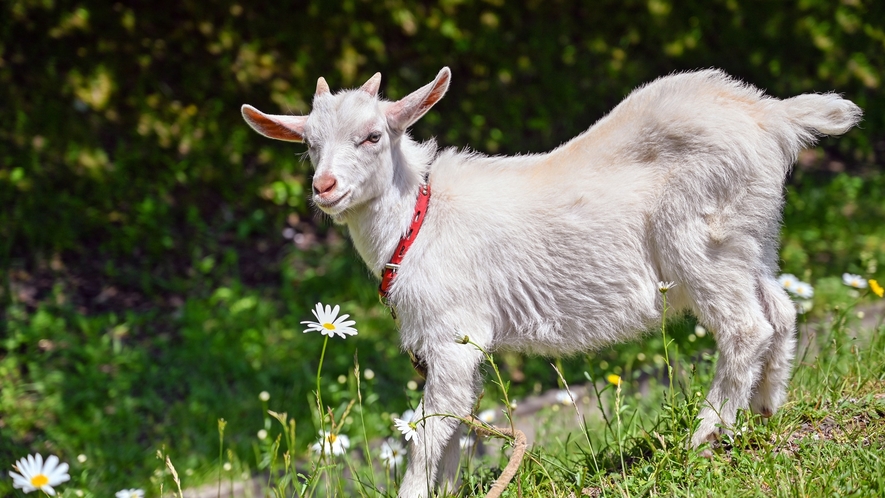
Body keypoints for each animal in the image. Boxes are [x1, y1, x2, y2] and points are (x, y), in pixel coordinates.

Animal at [238, 67, 860, 498]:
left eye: (372, 136)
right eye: (308, 145)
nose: (324, 187)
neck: (418, 217)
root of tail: (772, 117)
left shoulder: (450, 334)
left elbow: (432, 427)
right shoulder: (457, 345)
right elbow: (456, 425)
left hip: (702, 244)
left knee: (745, 326)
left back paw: (705, 435)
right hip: (752, 238)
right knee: (780, 310)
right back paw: (765, 411)